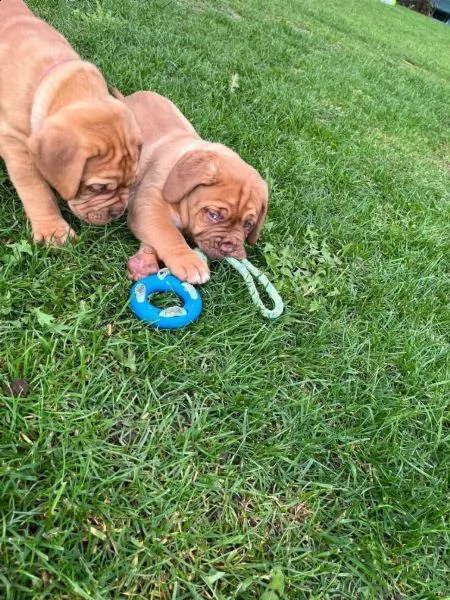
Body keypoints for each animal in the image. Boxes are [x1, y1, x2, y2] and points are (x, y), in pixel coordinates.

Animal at [0, 0, 142, 244]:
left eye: (132, 183)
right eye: (97, 188)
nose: (117, 213)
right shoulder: (16, 144)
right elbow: (38, 191)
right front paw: (54, 231)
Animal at [124, 90, 268, 284]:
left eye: (248, 225)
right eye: (213, 215)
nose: (229, 247)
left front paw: (145, 260)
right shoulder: (148, 203)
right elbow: (167, 232)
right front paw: (188, 262)